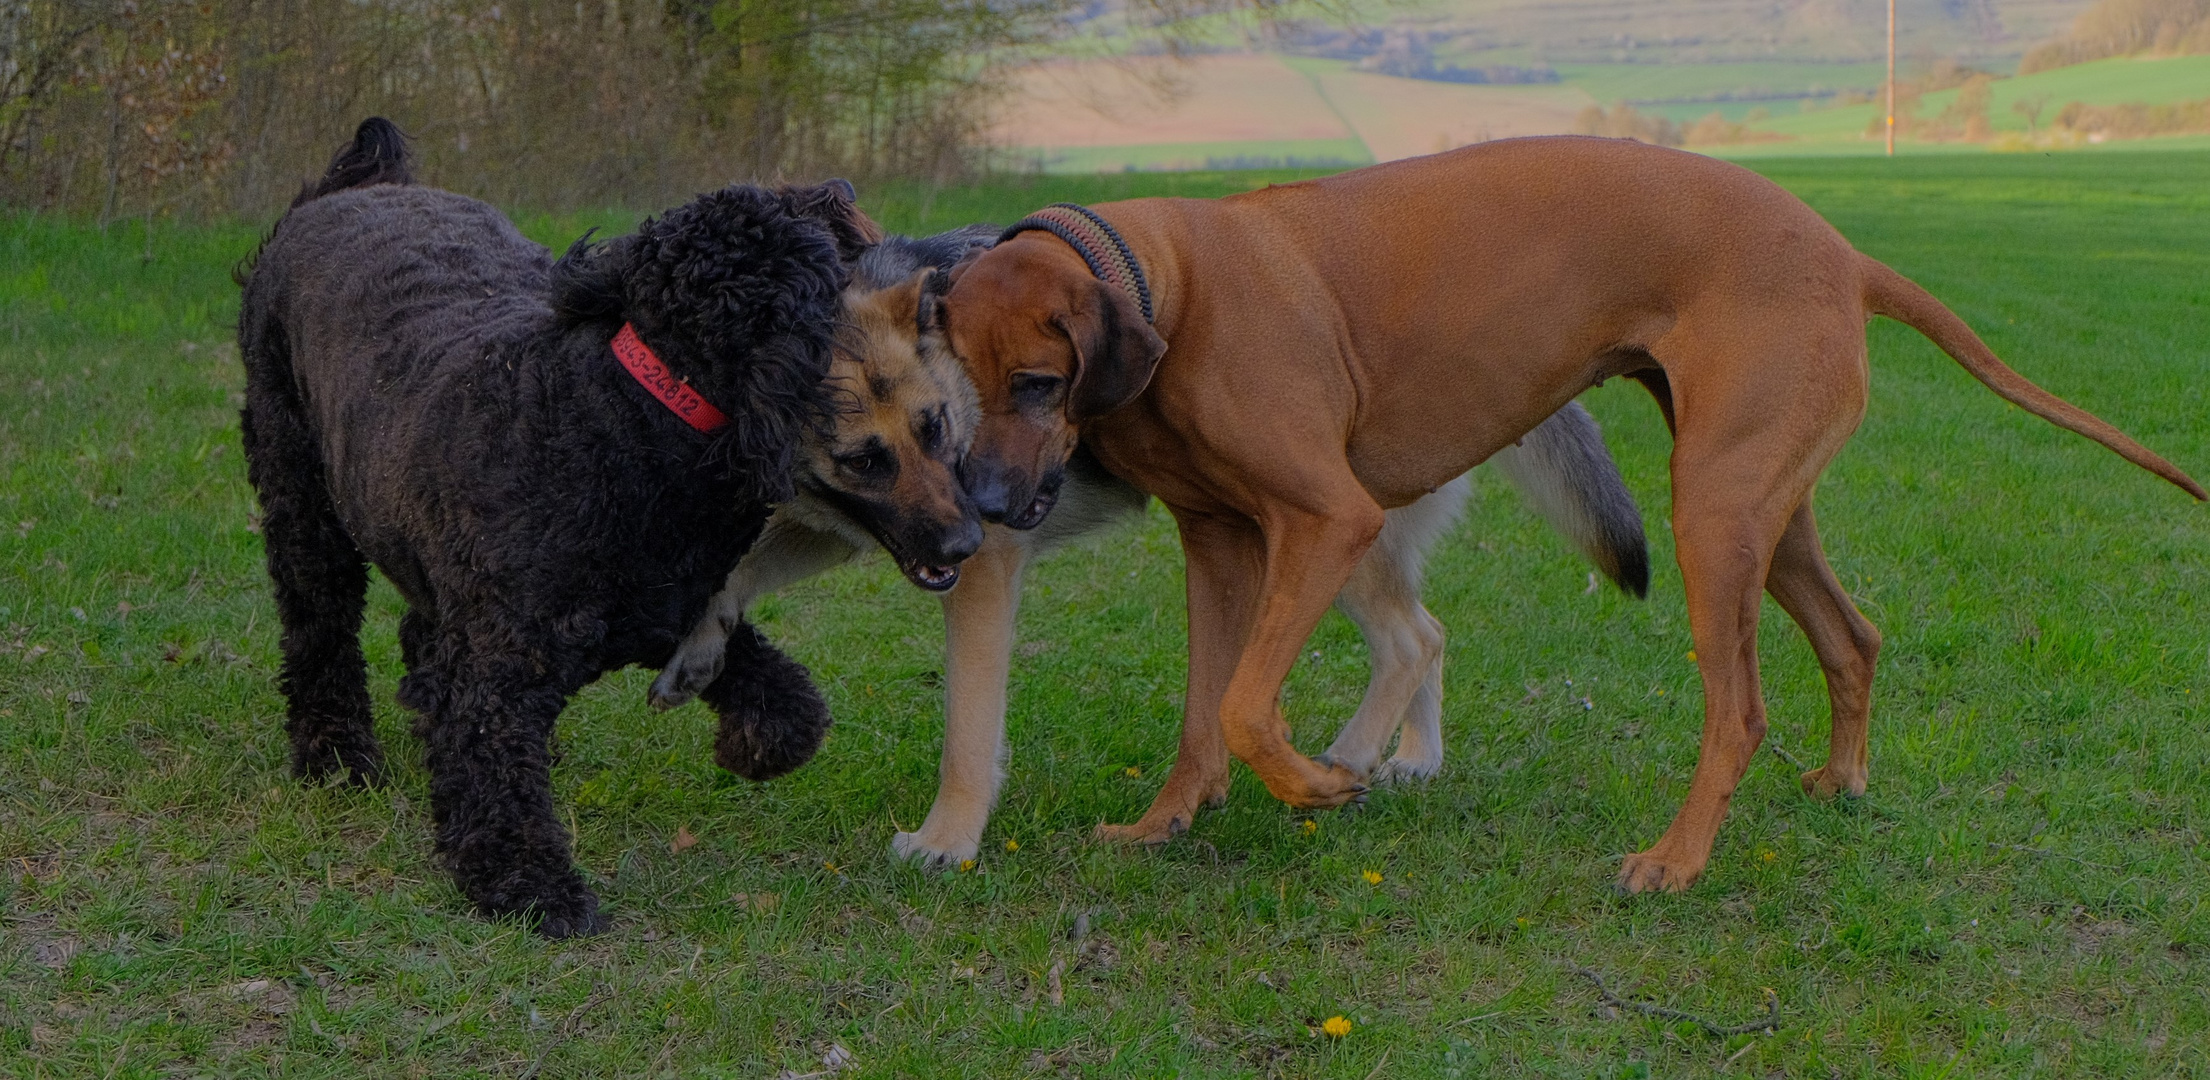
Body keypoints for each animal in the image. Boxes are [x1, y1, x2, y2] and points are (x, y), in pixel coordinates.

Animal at [233, 115, 870, 927]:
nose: (842, 186)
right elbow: (493, 774)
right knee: (320, 634)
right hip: (304, 506)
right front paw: (528, 882)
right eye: (798, 229)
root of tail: (355, 188)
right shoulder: (502, 672)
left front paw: (749, 745)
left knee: (417, 632)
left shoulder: (672, 610)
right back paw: (336, 758)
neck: (624, 419)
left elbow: (790, 705)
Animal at [645, 227, 1653, 865]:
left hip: (1330, 542)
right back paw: (1415, 759)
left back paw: (1353, 761)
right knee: (1431, 633)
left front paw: (946, 842)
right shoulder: (851, 524)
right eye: (865, 457)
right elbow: (736, 568)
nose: (976, 526)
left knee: (1411, 638)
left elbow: (968, 730)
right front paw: (696, 649)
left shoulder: (978, 576)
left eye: (939, 428)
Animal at [937, 136, 2210, 892]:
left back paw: (1676, 861)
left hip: (1711, 515)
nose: (982, 510)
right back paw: (1841, 783)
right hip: (1763, 504)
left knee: (1739, 711)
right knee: (1853, 637)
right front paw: (1164, 825)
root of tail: (1846, 254)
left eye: (1038, 384)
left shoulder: (1328, 521)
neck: (1169, 282)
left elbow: (1248, 707)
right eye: (953, 381)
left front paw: (1321, 783)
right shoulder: (1218, 546)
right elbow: (1204, 712)